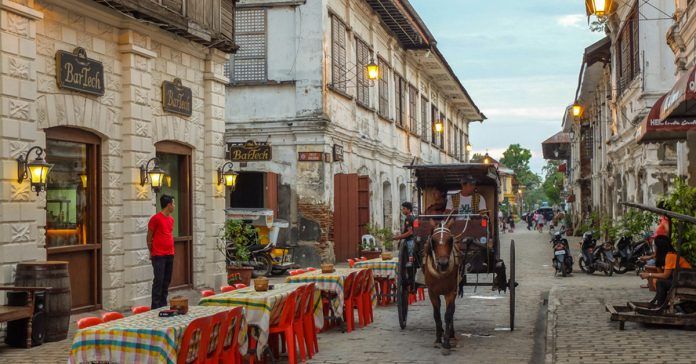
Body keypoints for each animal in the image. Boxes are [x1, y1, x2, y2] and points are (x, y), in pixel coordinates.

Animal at [422, 223, 460, 354]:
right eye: (433, 240)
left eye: (450, 240)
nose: (443, 263)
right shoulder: (432, 293)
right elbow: (436, 314)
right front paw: (438, 339)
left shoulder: (451, 292)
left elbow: (448, 314)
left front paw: (447, 342)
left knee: (452, 310)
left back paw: (451, 334)